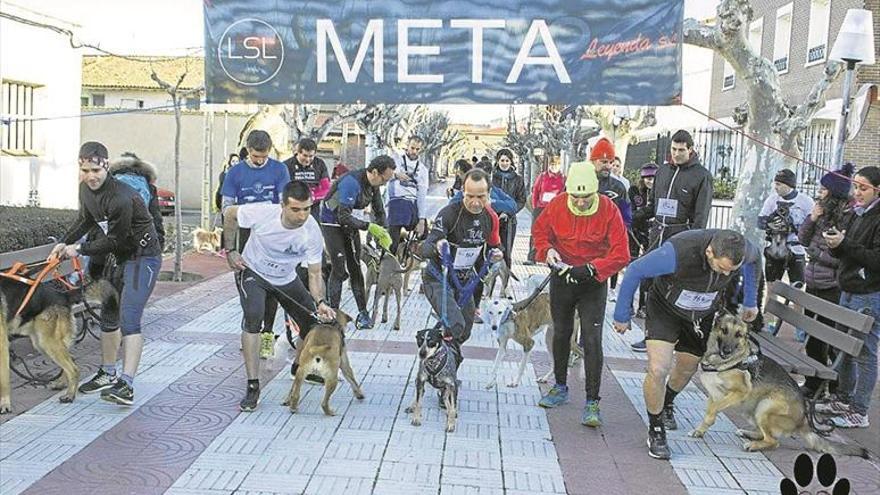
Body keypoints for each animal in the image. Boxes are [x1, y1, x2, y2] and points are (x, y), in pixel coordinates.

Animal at [0, 272, 115, 414]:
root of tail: (62, 295)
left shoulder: (2, 346)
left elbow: (4, 380)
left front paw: (5, 405)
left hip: (46, 343)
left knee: (73, 368)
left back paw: (70, 395)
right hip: (42, 344)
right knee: (71, 359)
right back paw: (62, 384)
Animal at [692, 314, 868, 458]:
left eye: (739, 335)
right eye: (724, 330)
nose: (727, 351)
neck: (722, 363)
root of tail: (804, 420)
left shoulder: (740, 392)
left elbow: (713, 410)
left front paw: (707, 423)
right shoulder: (713, 395)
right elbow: (709, 410)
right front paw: (700, 430)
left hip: (765, 406)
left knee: (773, 441)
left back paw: (753, 445)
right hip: (752, 410)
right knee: (768, 435)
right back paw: (749, 434)